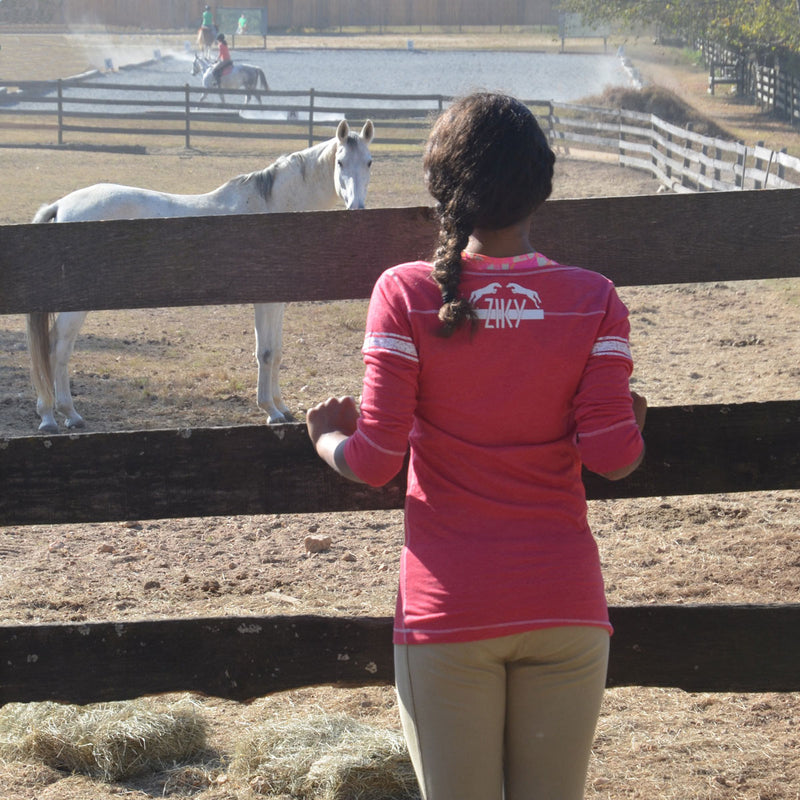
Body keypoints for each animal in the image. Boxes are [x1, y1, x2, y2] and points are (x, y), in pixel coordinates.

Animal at [25, 119, 376, 434]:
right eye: (340, 162)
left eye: (369, 162)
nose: (358, 209)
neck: (274, 207)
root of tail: (62, 205)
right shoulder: (264, 301)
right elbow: (264, 353)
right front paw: (271, 412)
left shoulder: (278, 302)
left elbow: (275, 353)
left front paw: (282, 407)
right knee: (57, 349)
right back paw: (60, 415)